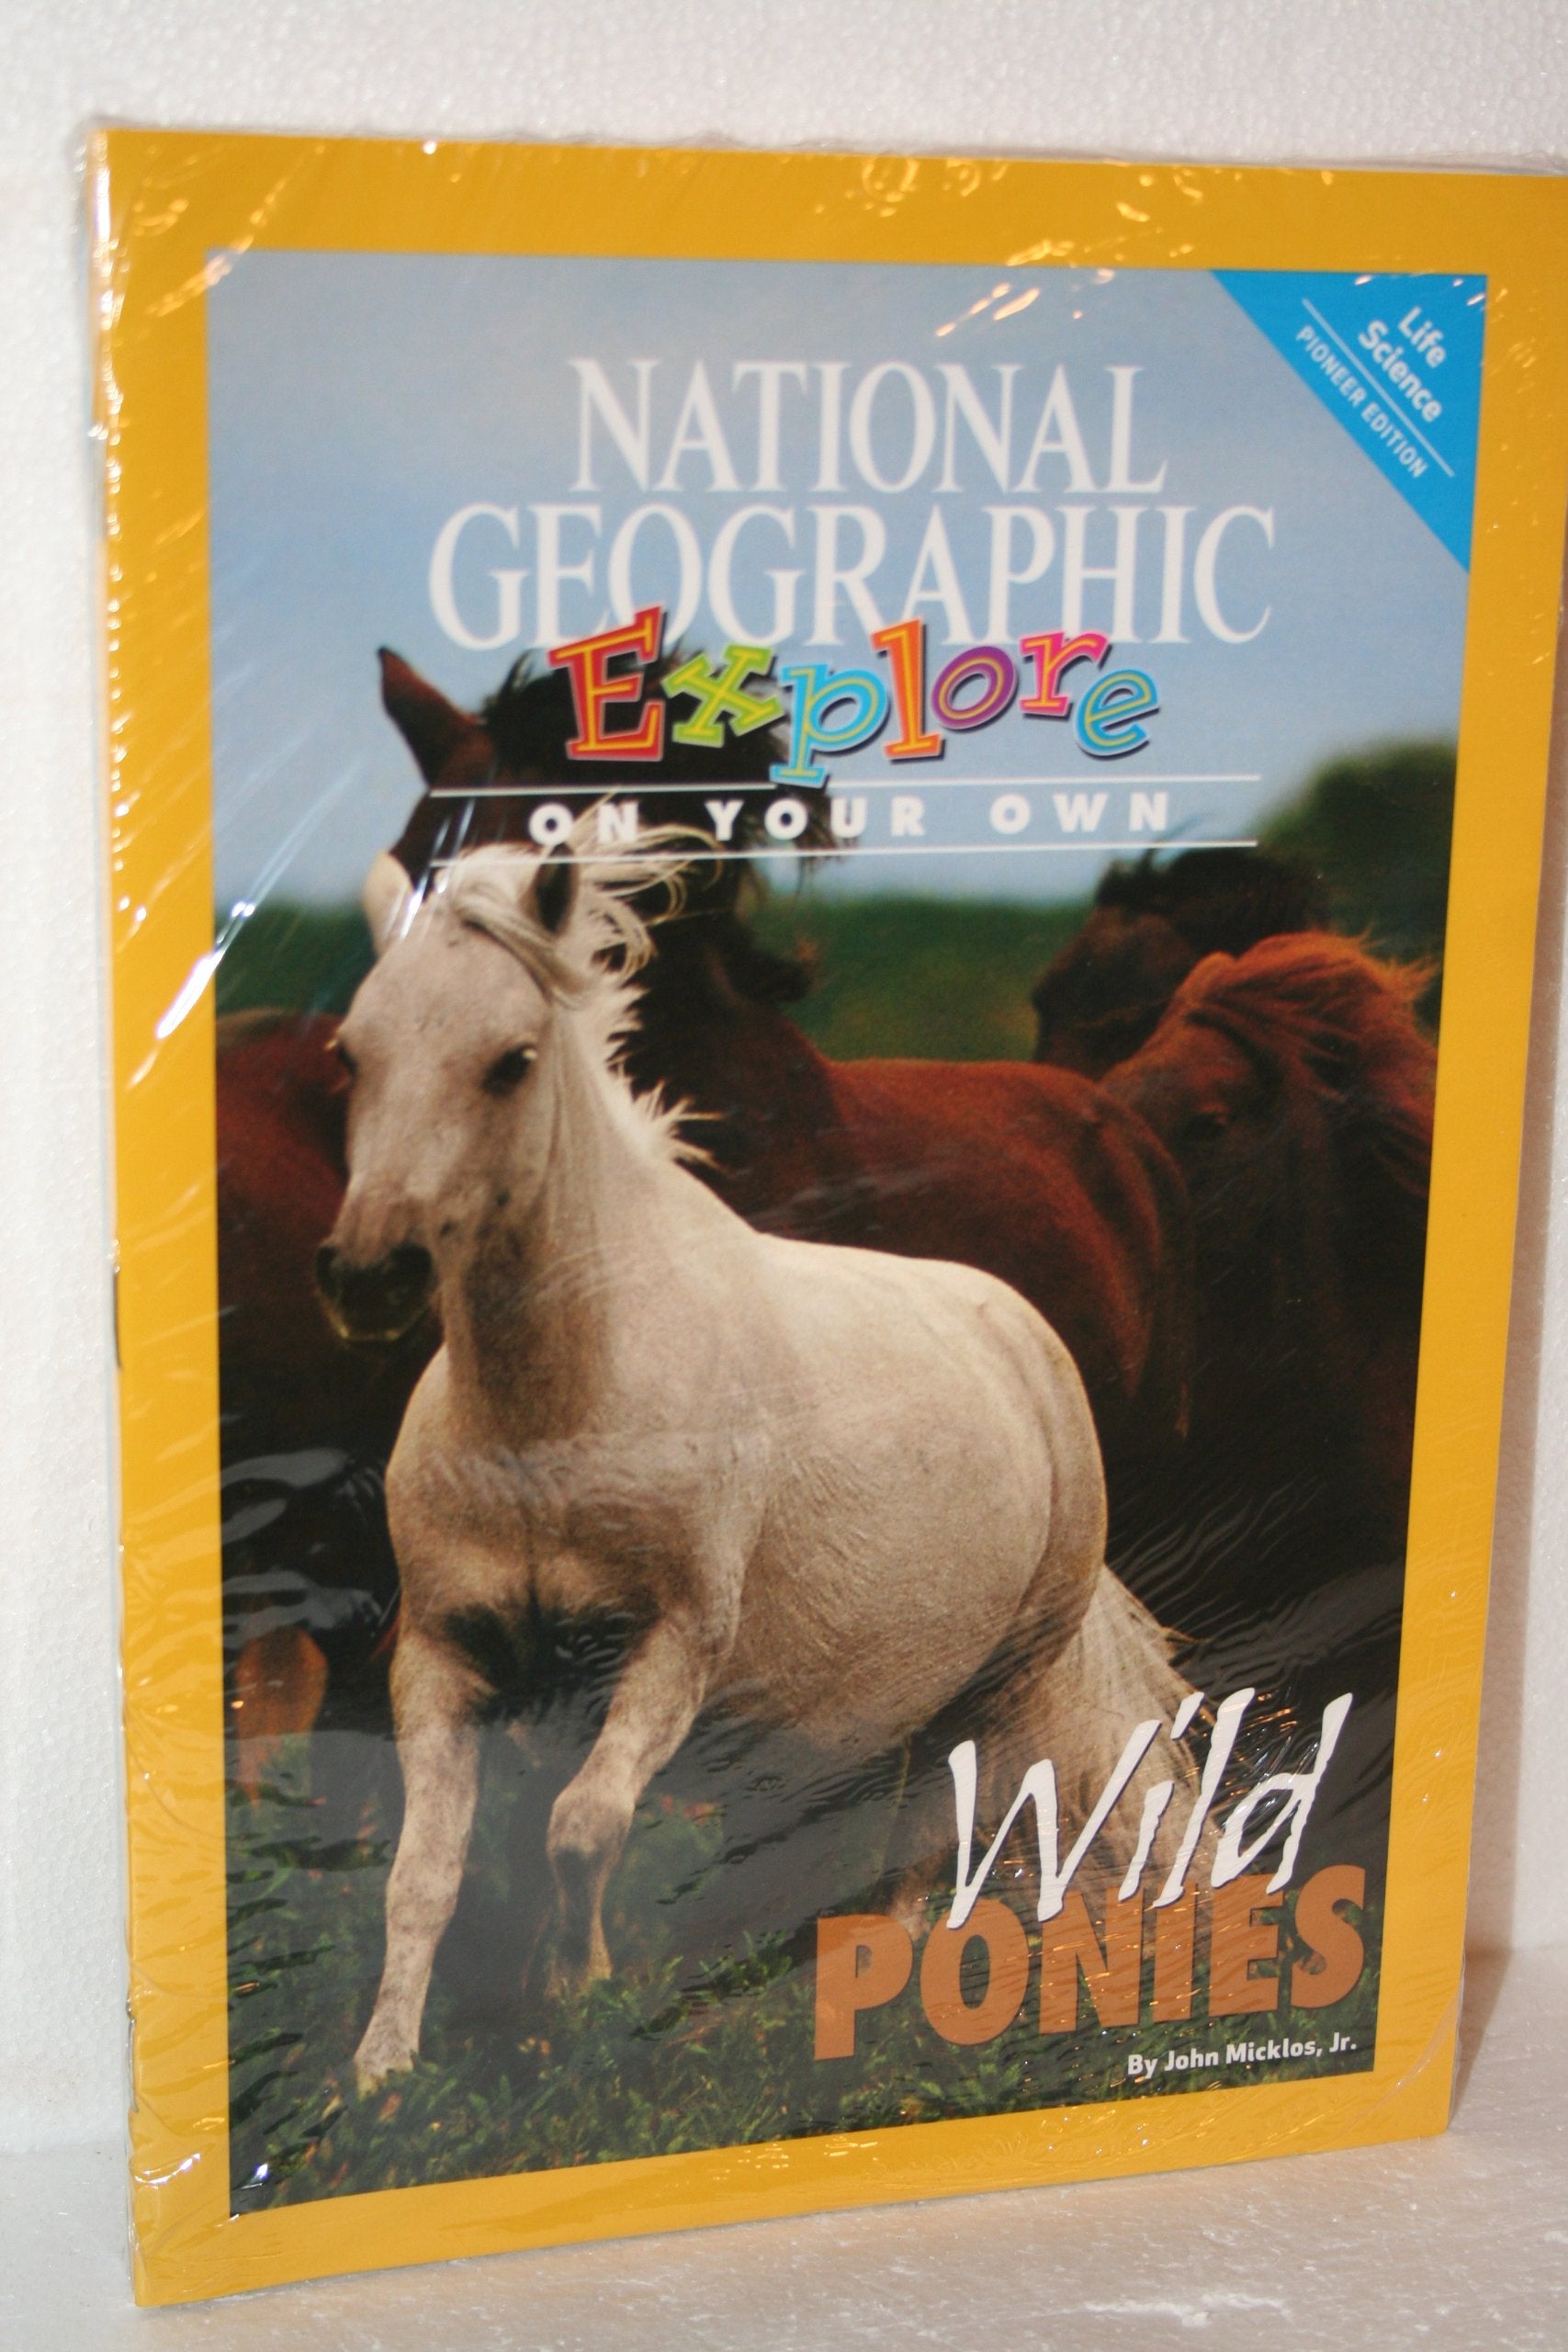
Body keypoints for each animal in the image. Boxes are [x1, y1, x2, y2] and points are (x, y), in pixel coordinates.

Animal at [318, 842, 1198, 2092]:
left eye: (511, 1060)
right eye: (354, 1051)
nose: (368, 1274)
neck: (554, 1417)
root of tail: (1022, 1333)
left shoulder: (674, 1640)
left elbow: (582, 1826)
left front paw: (580, 1996)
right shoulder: (450, 1654)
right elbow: (425, 1871)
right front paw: (387, 2075)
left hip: (994, 1679)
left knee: (929, 1835)